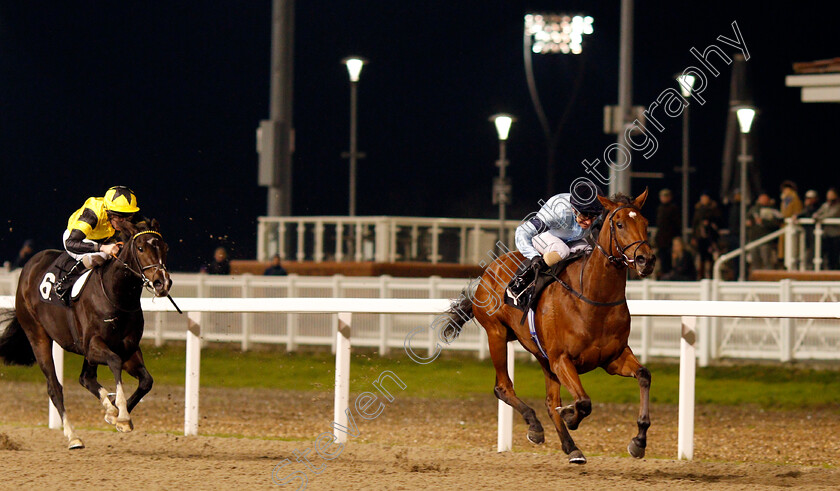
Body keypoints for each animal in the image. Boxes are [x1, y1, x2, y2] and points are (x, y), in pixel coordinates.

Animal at [0, 219, 171, 450]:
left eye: (165, 248)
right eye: (141, 248)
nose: (163, 283)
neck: (116, 295)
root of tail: (28, 268)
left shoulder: (128, 348)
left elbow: (146, 381)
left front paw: (117, 415)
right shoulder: (94, 346)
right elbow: (115, 362)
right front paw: (121, 414)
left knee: (86, 378)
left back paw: (107, 408)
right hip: (37, 335)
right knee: (55, 387)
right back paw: (73, 437)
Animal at [442, 190, 652, 464]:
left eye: (645, 223)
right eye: (619, 224)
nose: (645, 259)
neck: (594, 299)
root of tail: (490, 270)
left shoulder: (612, 358)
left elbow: (644, 375)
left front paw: (638, 441)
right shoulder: (562, 359)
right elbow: (583, 402)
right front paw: (571, 416)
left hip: (542, 356)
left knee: (550, 401)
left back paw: (571, 447)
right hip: (497, 334)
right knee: (503, 387)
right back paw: (535, 426)